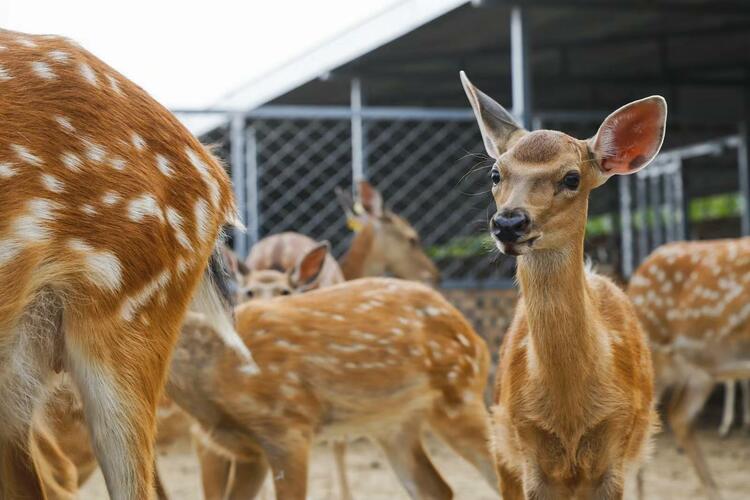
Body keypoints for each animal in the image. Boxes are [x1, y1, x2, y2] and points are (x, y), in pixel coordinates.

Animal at [168, 278, 502, 500]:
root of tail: (476, 337)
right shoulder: (248, 449)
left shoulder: (288, 427)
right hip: (394, 426)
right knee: (436, 488)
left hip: (459, 393)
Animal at [462, 71, 668, 500]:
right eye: (496, 173)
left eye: (572, 178)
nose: (509, 223)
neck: (569, 413)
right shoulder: (525, 445)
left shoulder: (616, 444)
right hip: (501, 444)